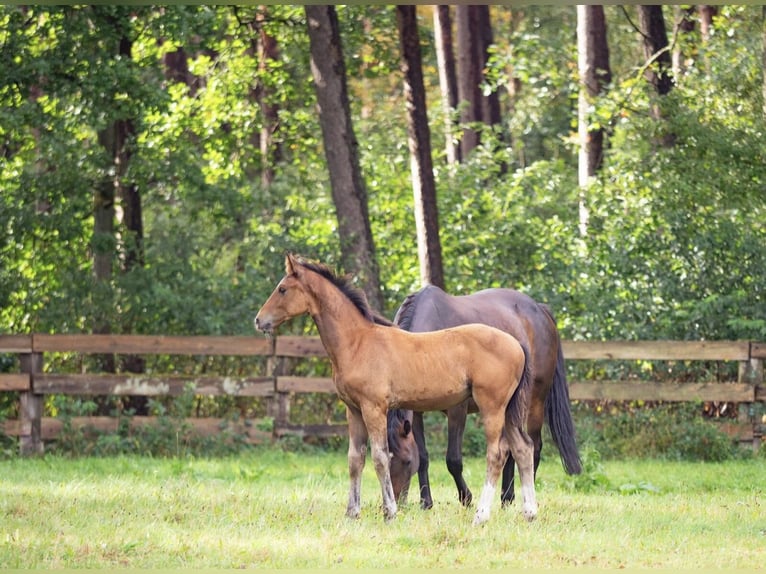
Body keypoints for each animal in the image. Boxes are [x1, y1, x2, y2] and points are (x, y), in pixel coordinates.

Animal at [390, 286, 584, 510]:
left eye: (406, 461)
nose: (397, 502)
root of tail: (540, 309)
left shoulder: (457, 410)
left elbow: (453, 459)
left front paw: (466, 497)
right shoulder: (416, 412)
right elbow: (423, 456)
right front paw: (426, 503)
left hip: (535, 402)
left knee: (533, 447)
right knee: (513, 449)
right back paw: (507, 497)